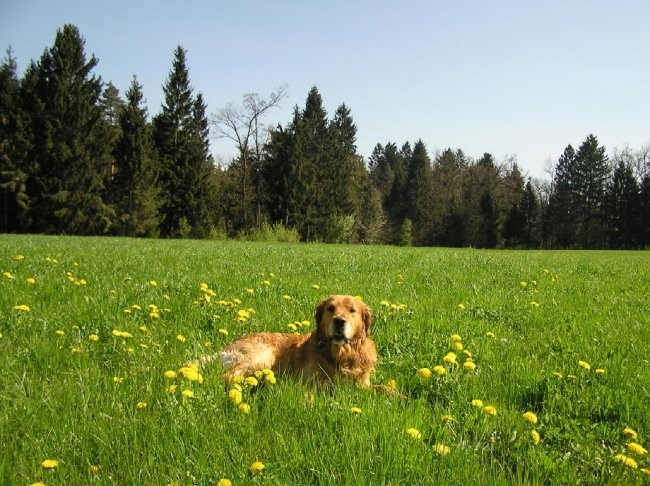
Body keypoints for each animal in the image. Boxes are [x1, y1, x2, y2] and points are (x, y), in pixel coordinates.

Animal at [206, 294, 384, 390]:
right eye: (330, 308)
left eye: (352, 310)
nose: (339, 321)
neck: (342, 354)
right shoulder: (309, 381)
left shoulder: (363, 384)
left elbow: (384, 387)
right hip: (262, 356)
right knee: (228, 376)